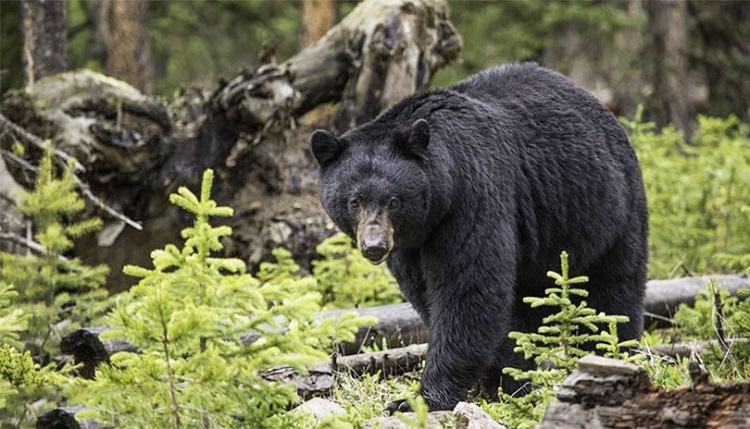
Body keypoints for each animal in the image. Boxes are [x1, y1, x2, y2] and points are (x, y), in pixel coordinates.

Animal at [311, 63, 648, 412]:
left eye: (393, 200)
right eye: (354, 201)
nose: (375, 247)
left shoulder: (472, 197)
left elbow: (468, 289)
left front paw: (422, 398)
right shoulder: (411, 244)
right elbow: (430, 294)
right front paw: (497, 381)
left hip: (607, 212)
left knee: (612, 293)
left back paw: (612, 355)